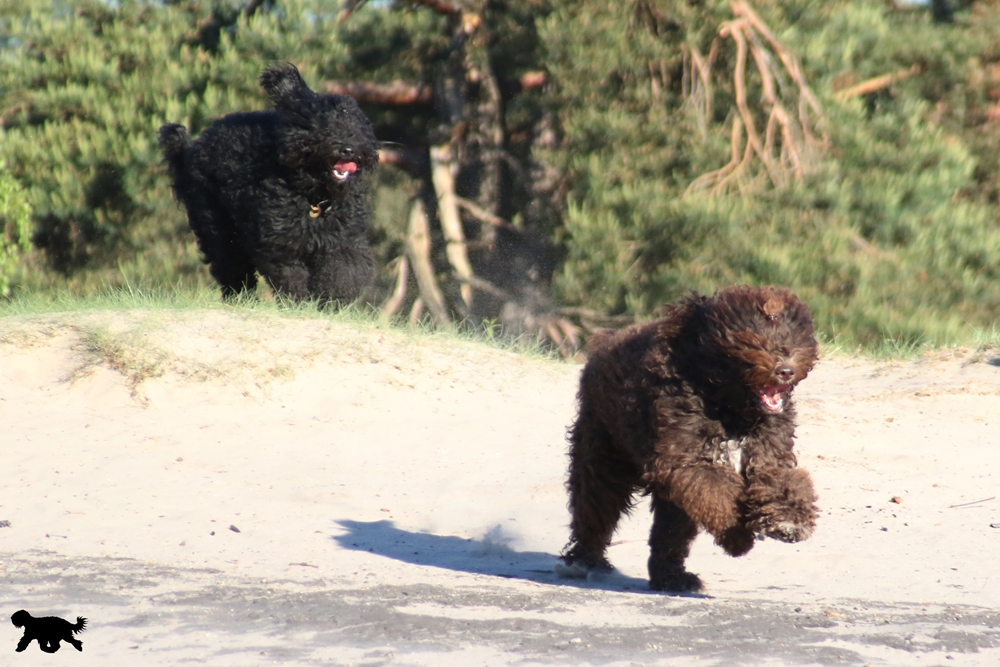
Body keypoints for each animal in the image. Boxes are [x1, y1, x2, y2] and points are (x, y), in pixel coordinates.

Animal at [159, 62, 379, 306]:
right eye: (325, 127)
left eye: (355, 128)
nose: (348, 149)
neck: (314, 195)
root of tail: (190, 149)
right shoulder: (281, 244)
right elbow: (292, 277)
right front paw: (299, 302)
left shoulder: (343, 239)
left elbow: (343, 269)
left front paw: (332, 300)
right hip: (217, 227)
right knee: (230, 266)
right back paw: (240, 299)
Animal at [556, 285, 820, 593]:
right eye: (756, 340)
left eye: (790, 338)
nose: (786, 370)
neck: (727, 406)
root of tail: (603, 344)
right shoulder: (687, 461)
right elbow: (718, 494)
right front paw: (738, 537)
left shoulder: (767, 453)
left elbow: (781, 482)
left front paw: (789, 521)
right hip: (603, 450)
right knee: (595, 504)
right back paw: (586, 558)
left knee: (669, 531)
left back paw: (671, 576)